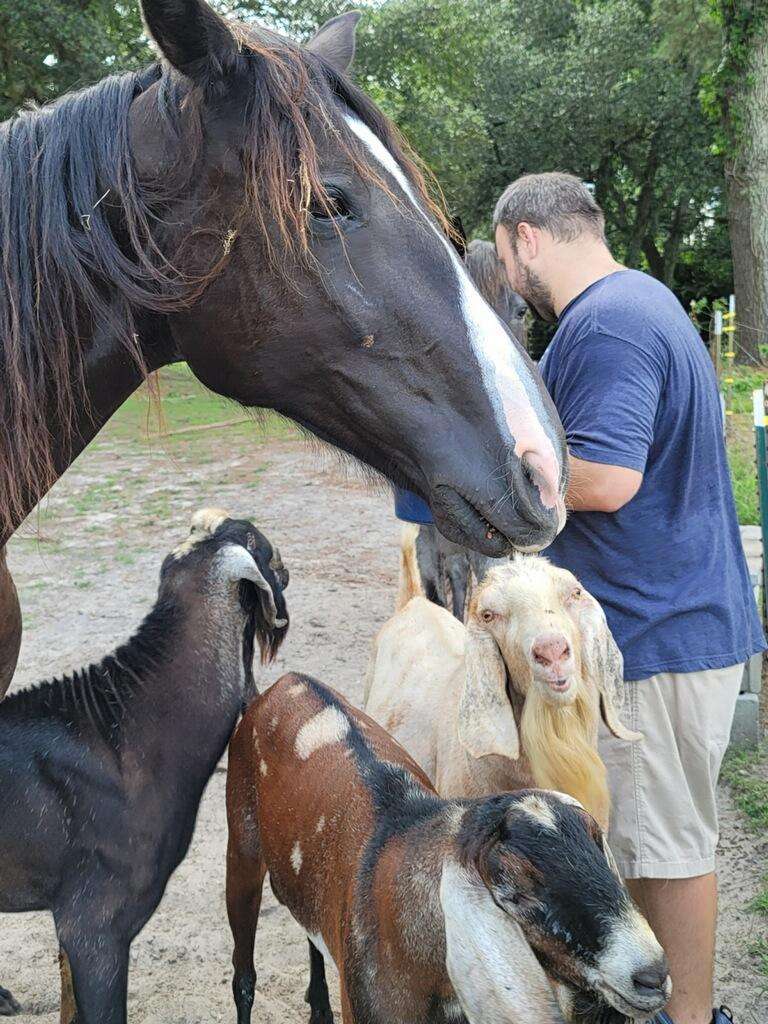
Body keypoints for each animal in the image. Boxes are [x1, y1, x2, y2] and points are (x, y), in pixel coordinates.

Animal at [225, 671, 671, 1024]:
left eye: (600, 848)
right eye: (516, 878)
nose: (652, 975)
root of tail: (286, 682)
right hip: (241, 848)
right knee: (244, 974)